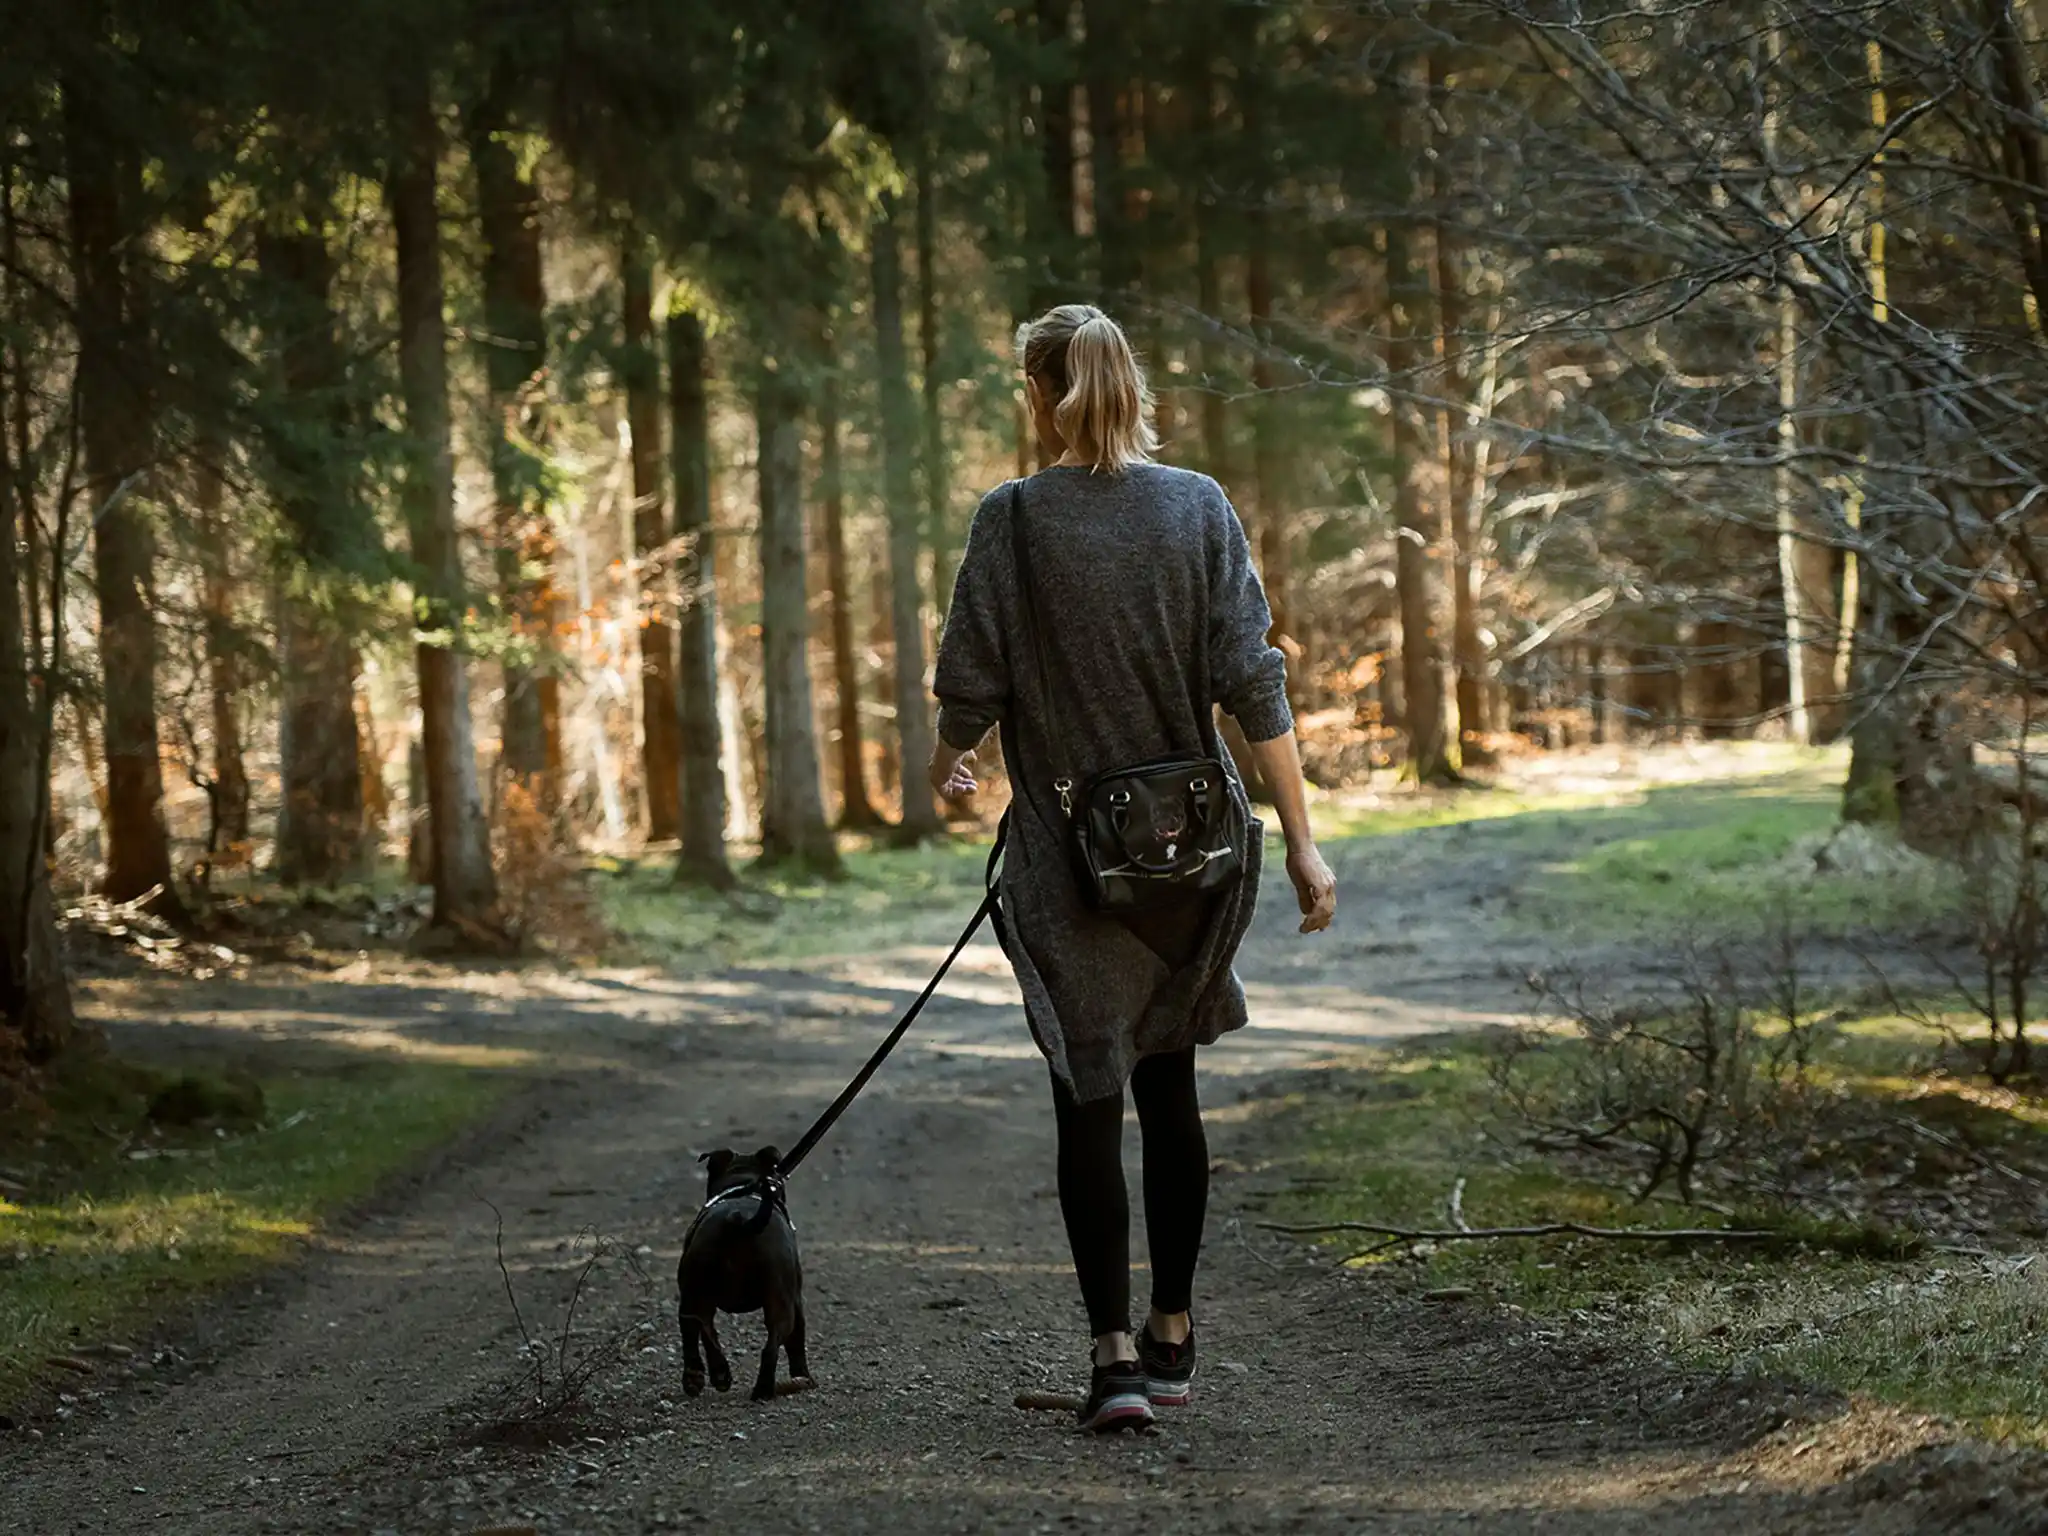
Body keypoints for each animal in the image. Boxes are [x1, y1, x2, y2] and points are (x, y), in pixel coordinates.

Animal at [671, 1146, 806, 1400]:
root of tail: (739, 1223)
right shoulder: (797, 1301)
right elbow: (797, 1343)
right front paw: (803, 1377)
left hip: (695, 1292)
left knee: (699, 1328)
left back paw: (708, 1376)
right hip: (781, 1302)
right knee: (771, 1346)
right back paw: (763, 1389)